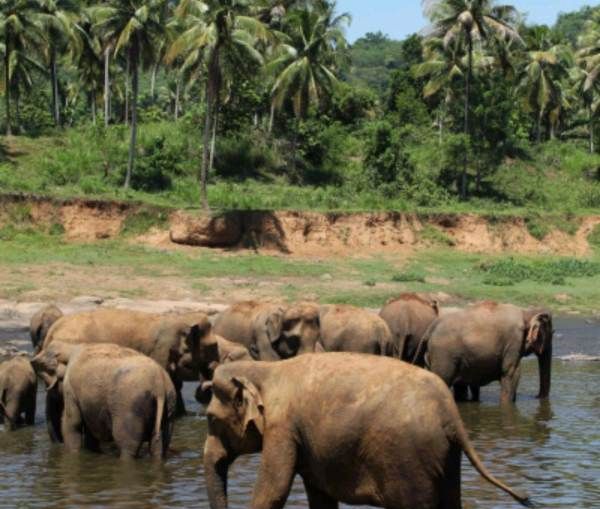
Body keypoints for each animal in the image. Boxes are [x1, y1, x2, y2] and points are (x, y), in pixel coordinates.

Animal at [32, 342, 175, 456]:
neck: (71, 347)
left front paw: (73, 454)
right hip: (168, 405)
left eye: (47, 382)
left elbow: (72, 424)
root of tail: (159, 385)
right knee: (159, 445)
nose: (58, 444)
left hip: (129, 406)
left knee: (127, 445)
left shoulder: (70, 387)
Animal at [204, 354, 532, 508]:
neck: (264, 368)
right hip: (447, 456)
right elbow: (320, 497)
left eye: (209, 419)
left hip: (409, 460)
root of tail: (452, 414)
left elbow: (272, 492)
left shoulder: (282, 427)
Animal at [412, 300, 552, 402]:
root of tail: (429, 330)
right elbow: (511, 373)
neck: (526, 312)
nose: (536, 397)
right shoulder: (513, 342)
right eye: (552, 332)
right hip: (443, 355)